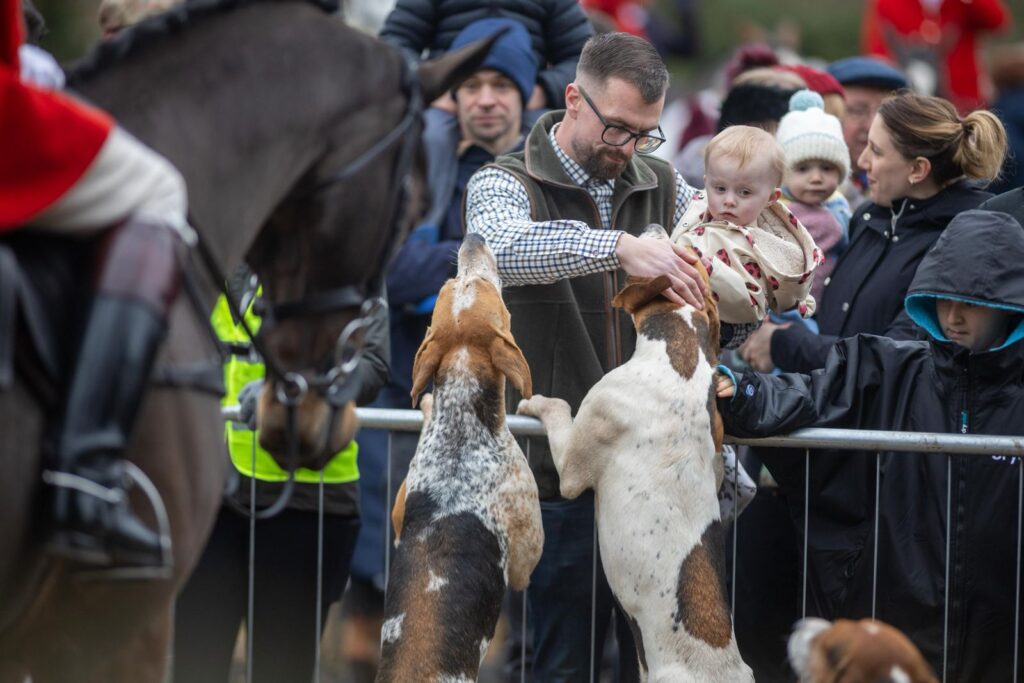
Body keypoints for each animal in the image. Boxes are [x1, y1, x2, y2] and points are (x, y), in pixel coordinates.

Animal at [520, 225, 753, 683]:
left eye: (674, 247)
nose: (654, 228)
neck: (680, 354)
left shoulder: (573, 462)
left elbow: (557, 408)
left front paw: (534, 401)